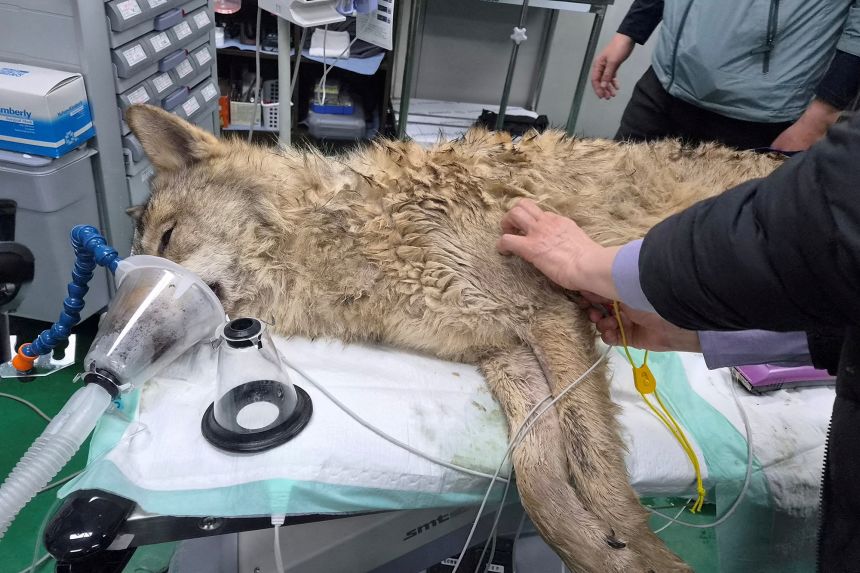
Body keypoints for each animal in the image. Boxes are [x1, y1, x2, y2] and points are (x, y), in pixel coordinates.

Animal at [126, 104, 781, 572]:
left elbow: (594, 467)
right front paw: (603, 551)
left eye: (168, 239)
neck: (347, 234)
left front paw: (644, 553)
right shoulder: (503, 352)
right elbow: (540, 479)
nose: (116, 349)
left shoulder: (548, 313)